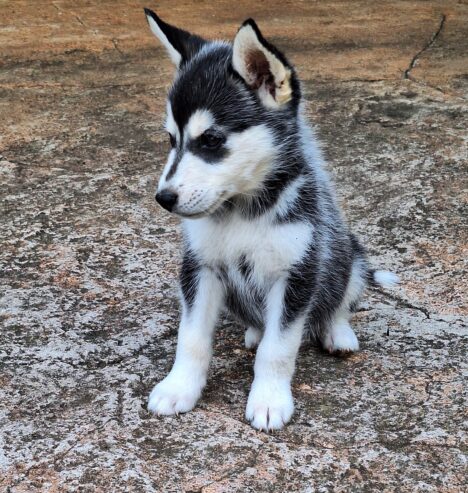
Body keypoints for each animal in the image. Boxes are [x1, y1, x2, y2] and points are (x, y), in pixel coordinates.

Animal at [144, 8, 398, 430]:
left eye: (211, 139)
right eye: (170, 139)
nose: (164, 199)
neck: (243, 212)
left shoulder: (297, 273)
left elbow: (278, 349)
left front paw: (268, 400)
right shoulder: (199, 267)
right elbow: (191, 338)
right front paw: (179, 387)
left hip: (348, 254)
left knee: (341, 299)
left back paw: (337, 332)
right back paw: (253, 331)